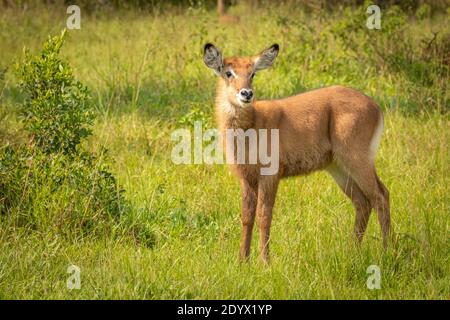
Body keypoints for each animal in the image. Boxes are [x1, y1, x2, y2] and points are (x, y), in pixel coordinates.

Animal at [204, 42, 390, 262]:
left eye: (252, 73)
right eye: (228, 72)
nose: (246, 94)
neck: (250, 127)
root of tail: (376, 107)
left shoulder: (270, 174)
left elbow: (264, 216)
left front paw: (264, 261)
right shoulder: (246, 176)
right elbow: (247, 216)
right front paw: (243, 260)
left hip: (357, 159)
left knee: (381, 196)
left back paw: (389, 251)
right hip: (338, 167)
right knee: (363, 202)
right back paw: (352, 251)